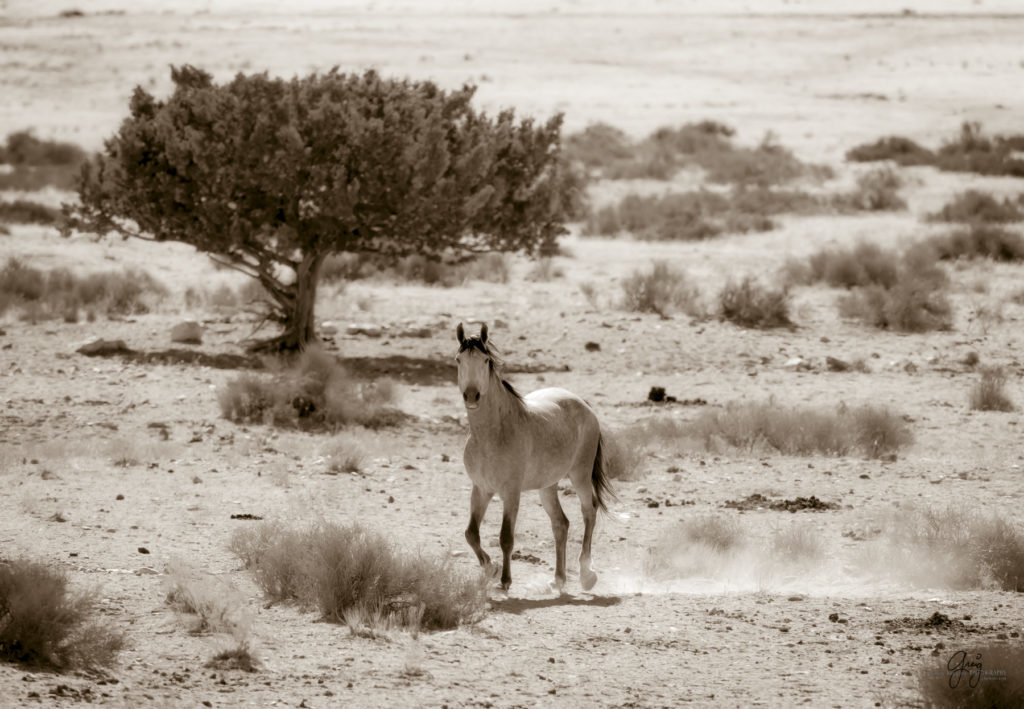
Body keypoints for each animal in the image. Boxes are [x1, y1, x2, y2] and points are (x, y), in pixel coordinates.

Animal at [454, 321, 610, 594]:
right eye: (458, 360)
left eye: (486, 360)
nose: (471, 396)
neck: (492, 434)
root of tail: (583, 405)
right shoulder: (481, 489)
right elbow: (471, 533)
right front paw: (491, 569)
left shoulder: (511, 492)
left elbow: (506, 537)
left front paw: (505, 581)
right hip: (547, 485)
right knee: (561, 524)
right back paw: (558, 579)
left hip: (580, 475)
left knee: (588, 511)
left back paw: (586, 575)